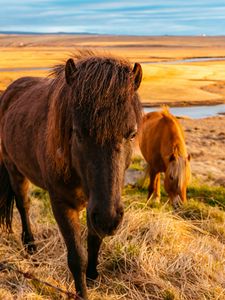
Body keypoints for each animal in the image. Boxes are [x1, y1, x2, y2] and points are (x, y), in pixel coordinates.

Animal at [0, 50, 142, 298]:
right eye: (77, 132)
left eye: (132, 133)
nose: (109, 220)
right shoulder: (62, 204)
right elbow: (77, 257)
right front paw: (82, 292)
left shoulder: (97, 204)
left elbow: (94, 240)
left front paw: (93, 276)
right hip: (14, 169)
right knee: (23, 205)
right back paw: (30, 245)